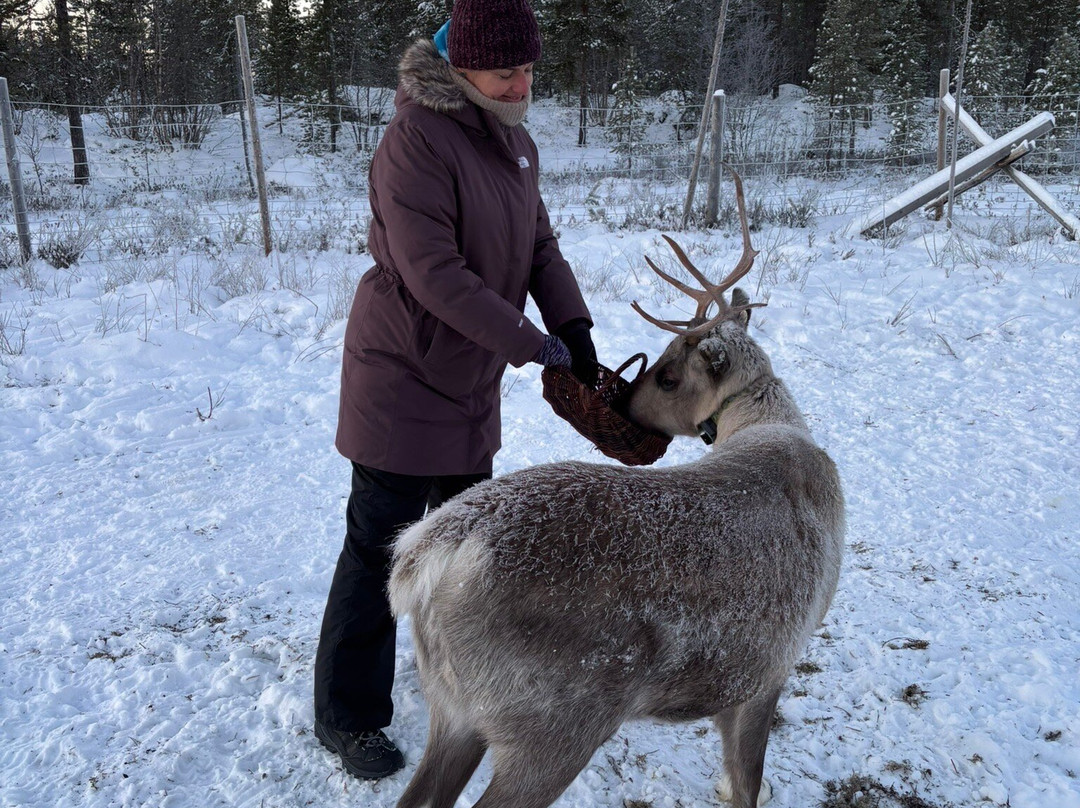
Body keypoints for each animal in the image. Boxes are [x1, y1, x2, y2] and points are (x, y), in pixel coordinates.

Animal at [387, 171, 845, 808]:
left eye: (670, 377)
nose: (623, 407)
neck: (769, 428)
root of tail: (430, 550)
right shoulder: (769, 667)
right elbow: (746, 786)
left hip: (455, 708)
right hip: (554, 721)